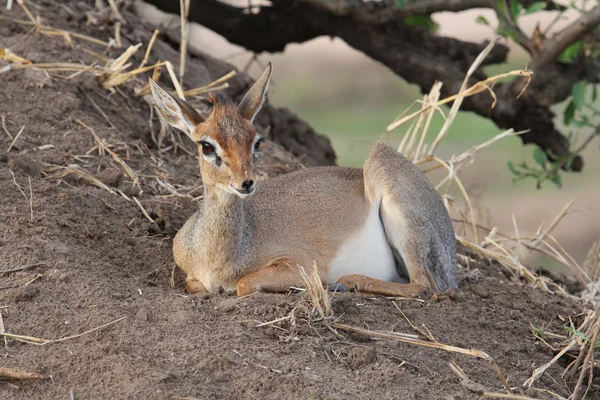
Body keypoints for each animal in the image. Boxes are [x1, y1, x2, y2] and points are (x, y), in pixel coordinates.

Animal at [149, 63, 454, 296]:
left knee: (424, 286)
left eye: (257, 141)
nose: (245, 183)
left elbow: (244, 284)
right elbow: (196, 286)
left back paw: (345, 282)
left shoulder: (300, 266)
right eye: (207, 146)